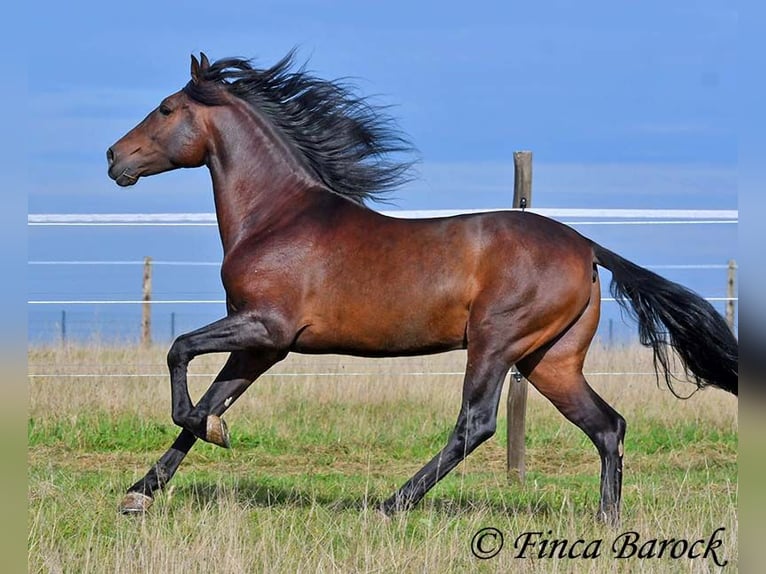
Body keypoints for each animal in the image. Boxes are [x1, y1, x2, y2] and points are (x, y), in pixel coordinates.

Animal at [107, 51, 738, 525]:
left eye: (166, 108)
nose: (114, 157)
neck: (277, 217)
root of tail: (585, 247)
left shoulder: (268, 327)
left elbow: (180, 356)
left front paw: (214, 435)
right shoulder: (261, 346)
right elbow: (207, 400)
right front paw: (142, 491)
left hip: (496, 343)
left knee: (476, 424)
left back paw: (391, 505)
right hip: (549, 360)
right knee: (608, 426)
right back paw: (606, 521)